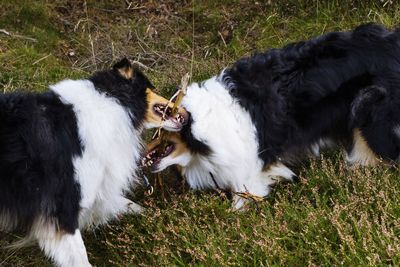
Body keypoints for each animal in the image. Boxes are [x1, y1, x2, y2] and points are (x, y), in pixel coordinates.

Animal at [0, 58, 188, 266]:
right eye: (151, 87)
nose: (186, 112)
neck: (111, 104)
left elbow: (127, 203)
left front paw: (154, 214)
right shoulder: (65, 207)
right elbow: (80, 257)